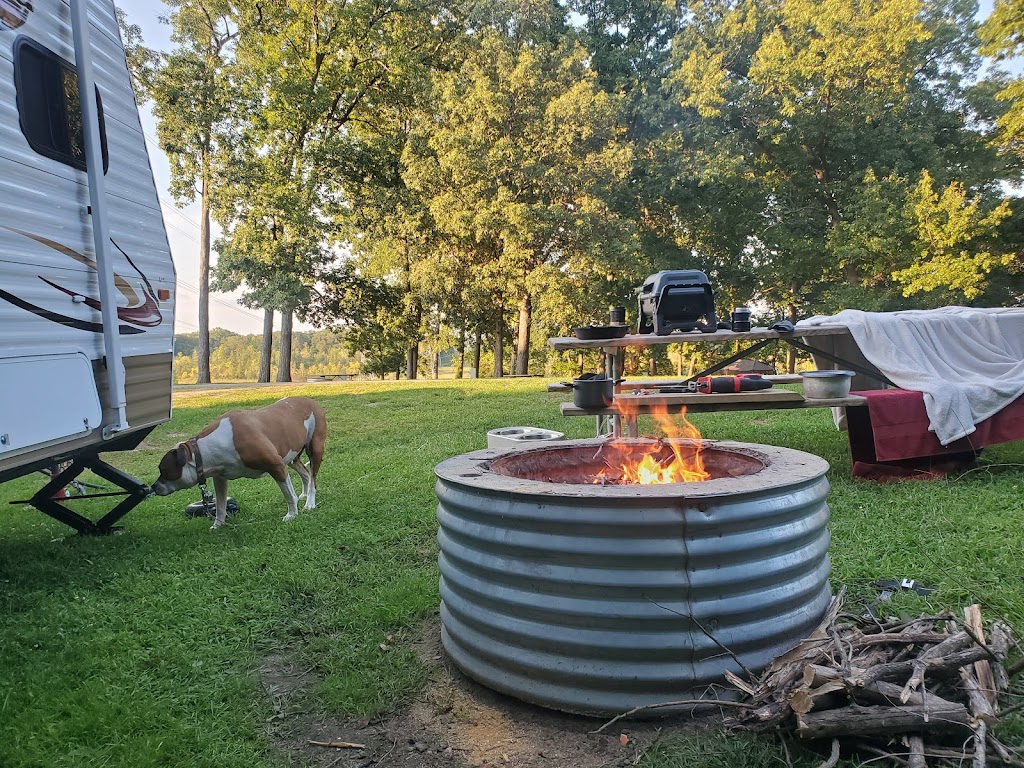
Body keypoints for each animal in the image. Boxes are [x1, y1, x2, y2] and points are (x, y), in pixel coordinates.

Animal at [151, 397, 325, 528]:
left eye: (163, 470)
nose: (153, 487)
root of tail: (310, 400)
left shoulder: (276, 466)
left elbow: (289, 495)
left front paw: (292, 514)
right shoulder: (220, 478)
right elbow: (220, 505)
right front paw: (218, 525)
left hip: (314, 449)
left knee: (313, 479)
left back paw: (309, 503)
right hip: (290, 456)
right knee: (305, 473)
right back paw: (304, 495)